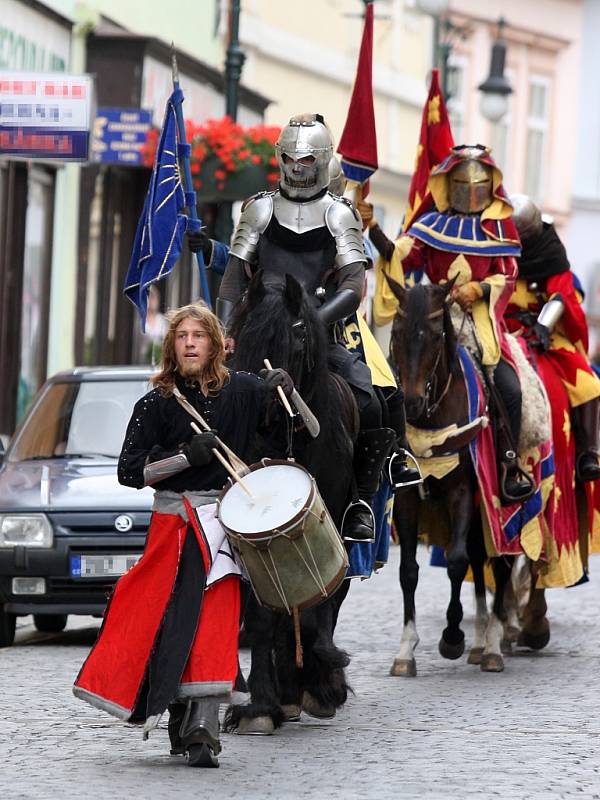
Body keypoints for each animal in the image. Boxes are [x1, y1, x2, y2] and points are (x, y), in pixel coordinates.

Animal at [224, 272, 358, 736]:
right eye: (241, 335)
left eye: (298, 334)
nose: (266, 397)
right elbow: (264, 616)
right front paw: (262, 704)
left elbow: (317, 606)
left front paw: (322, 682)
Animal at [386, 276, 512, 676]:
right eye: (396, 332)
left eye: (434, 336)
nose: (410, 403)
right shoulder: (407, 495)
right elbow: (408, 571)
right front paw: (405, 650)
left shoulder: (461, 491)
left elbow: (456, 562)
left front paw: (452, 636)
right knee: (479, 555)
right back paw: (481, 639)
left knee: (500, 562)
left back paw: (492, 644)